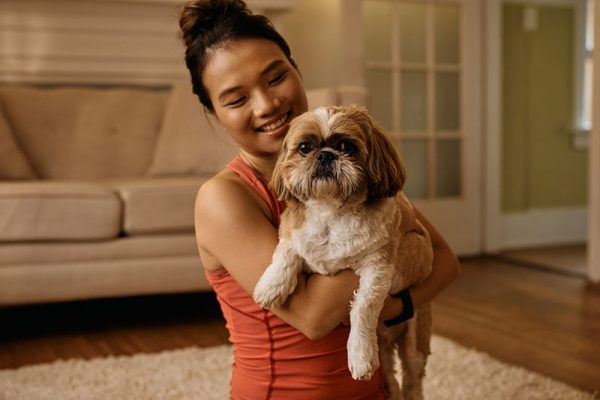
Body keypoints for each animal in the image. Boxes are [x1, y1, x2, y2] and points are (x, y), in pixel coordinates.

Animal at [252, 104, 432, 398]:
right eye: (304, 148)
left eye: (347, 146)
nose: (325, 155)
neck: (331, 212)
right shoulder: (293, 231)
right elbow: (286, 253)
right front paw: (271, 286)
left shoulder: (378, 266)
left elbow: (363, 307)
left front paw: (360, 356)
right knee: (391, 375)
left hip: (415, 339)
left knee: (412, 378)